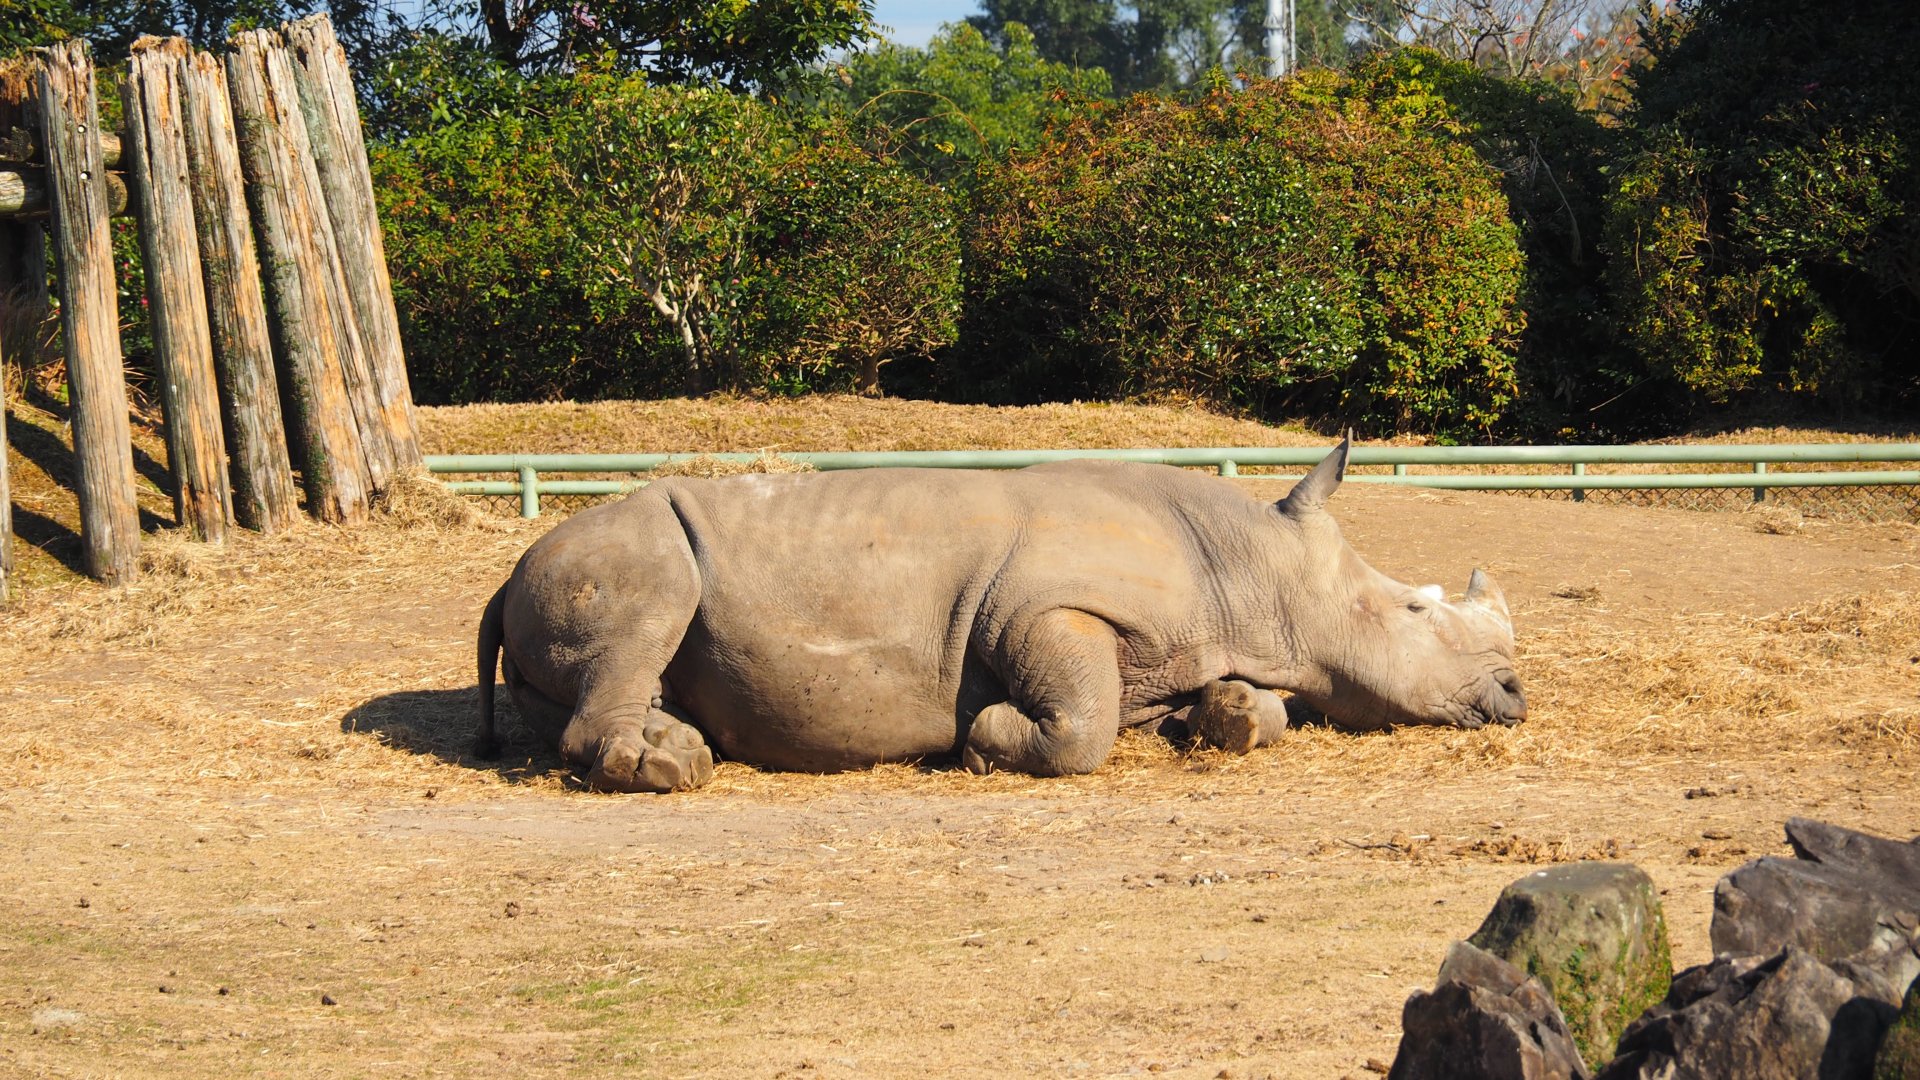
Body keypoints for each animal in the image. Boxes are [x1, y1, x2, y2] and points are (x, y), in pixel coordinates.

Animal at [475, 441, 1525, 792]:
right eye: (1413, 608)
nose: (1516, 693)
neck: (1249, 568)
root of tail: (504, 575)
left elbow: (1246, 708)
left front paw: (1227, 719)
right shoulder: (1042, 609)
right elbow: (1081, 724)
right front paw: (982, 740)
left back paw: (679, 740)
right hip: (614, 551)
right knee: (651, 592)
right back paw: (676, 769)